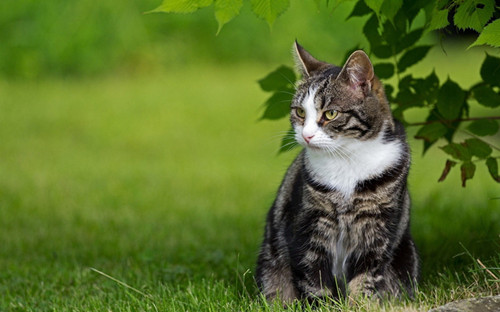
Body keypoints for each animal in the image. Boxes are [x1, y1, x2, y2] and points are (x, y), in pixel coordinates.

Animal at [256, 42, 420, 304]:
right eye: (300, 113)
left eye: (330, 114)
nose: (306, 135)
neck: (347, 160)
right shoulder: (309, 224)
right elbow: (313, 278)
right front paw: (322, 305)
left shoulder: (378, 227)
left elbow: (366, 275)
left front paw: (360, 304)